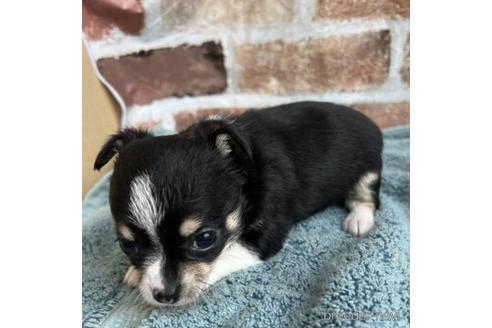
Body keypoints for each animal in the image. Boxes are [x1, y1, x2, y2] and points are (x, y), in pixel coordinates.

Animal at [93, 101, 384, 306]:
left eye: (205, 239)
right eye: (127, 245)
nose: (164, 296)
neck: (243, 166)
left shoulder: (264, 237)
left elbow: (223, 257)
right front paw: (136, 272)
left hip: (368, 168)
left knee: (366, 197)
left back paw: (359, 219)